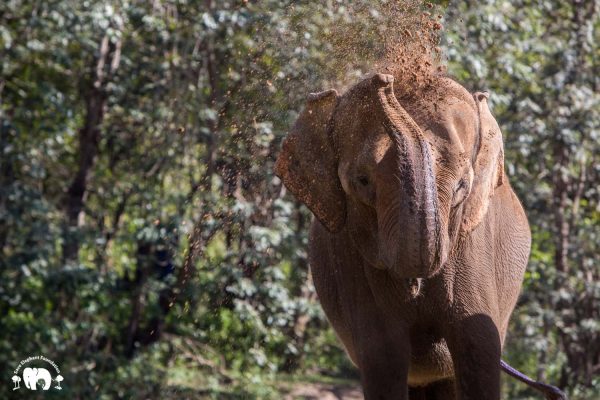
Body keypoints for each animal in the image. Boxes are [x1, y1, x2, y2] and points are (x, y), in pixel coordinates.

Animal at [274, 72, 564, 400]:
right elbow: (384, 360)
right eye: (362, 181)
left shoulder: (472, 250)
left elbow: (477, 350)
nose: (382, 80)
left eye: (462, 185)